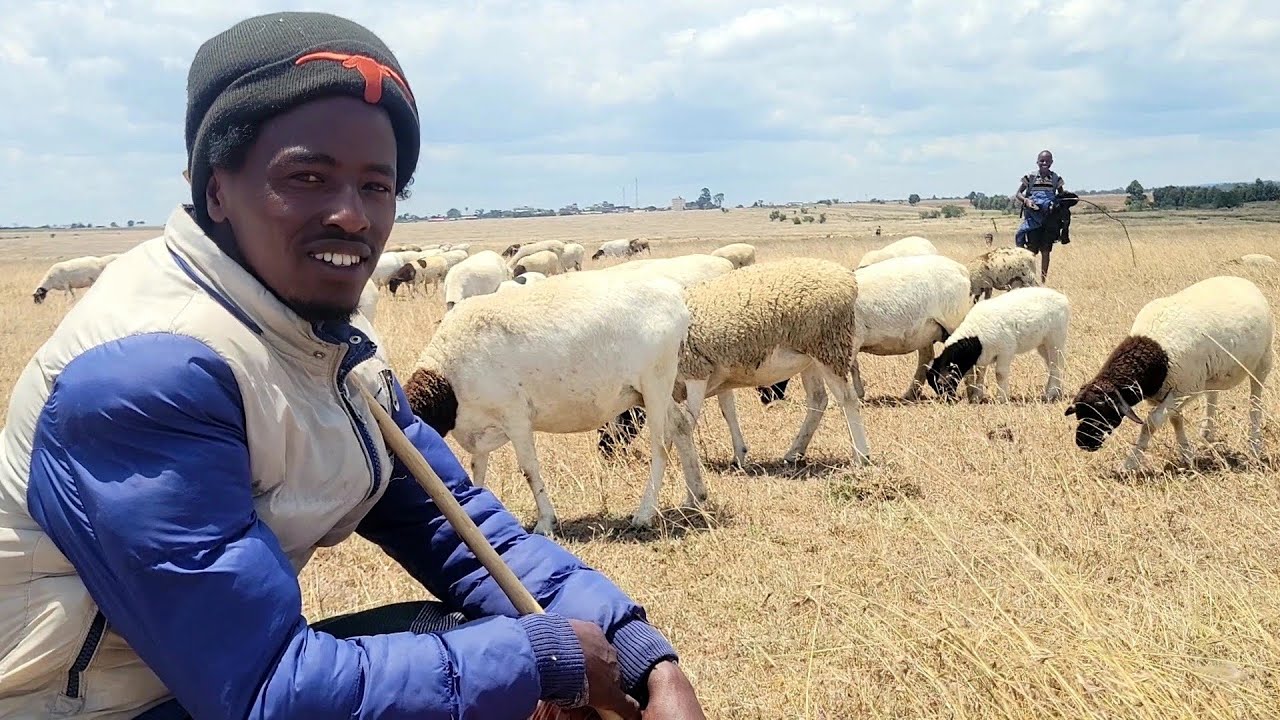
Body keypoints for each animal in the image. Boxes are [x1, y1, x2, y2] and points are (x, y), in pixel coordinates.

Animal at [403, 270, 705, 533]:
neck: (447, 375)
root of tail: (676, 299)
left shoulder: (515, 417)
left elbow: (529, 470)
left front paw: (546, 522)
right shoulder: (480, 425)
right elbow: (477, 469)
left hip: (655, 383)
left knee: (661, 446)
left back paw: (644, 515)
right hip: (647, 391)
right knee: (680, 426)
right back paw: (695, 497)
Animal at [598, 258, 872, 470]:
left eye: (611, 419)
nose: (604, 452)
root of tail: (848, 279)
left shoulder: (696, 372)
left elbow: (689, 419)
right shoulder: (719, 374)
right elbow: (728, 411)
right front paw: (739, 455)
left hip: (828, 347)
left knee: (847, 400)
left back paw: (861, 455)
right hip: (810, 357)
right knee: (818, 400)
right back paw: (794, 452)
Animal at [925, 286, 1071, 403]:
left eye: (942, 383)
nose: (947, 400)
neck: (975, 336)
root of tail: (1063, 299)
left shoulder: (1006, 350)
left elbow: (1000, 374)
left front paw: (1002, 398)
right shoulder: (983, 356)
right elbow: (980, 374)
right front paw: (977, 397)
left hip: (1055, 339)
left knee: (1056, 365)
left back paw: (1050, 394)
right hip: (1043, 345)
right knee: (1054, 365)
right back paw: (1057, 391)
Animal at [1065, 275, 1273, 471]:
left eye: (1103, 410)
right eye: (1080, 413)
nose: (1083, 443)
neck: (1155, 353)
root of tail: (1243, 280)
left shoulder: (1185, 389)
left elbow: (1150, 424)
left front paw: (1130, 464)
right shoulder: (1173, 391)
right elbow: (1175, 420)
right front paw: (1187, 455)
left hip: (1263, 360)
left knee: (1255, 400)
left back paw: (1255, 446)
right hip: (1213, 374)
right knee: (1212, 395)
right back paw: (1207, 434)